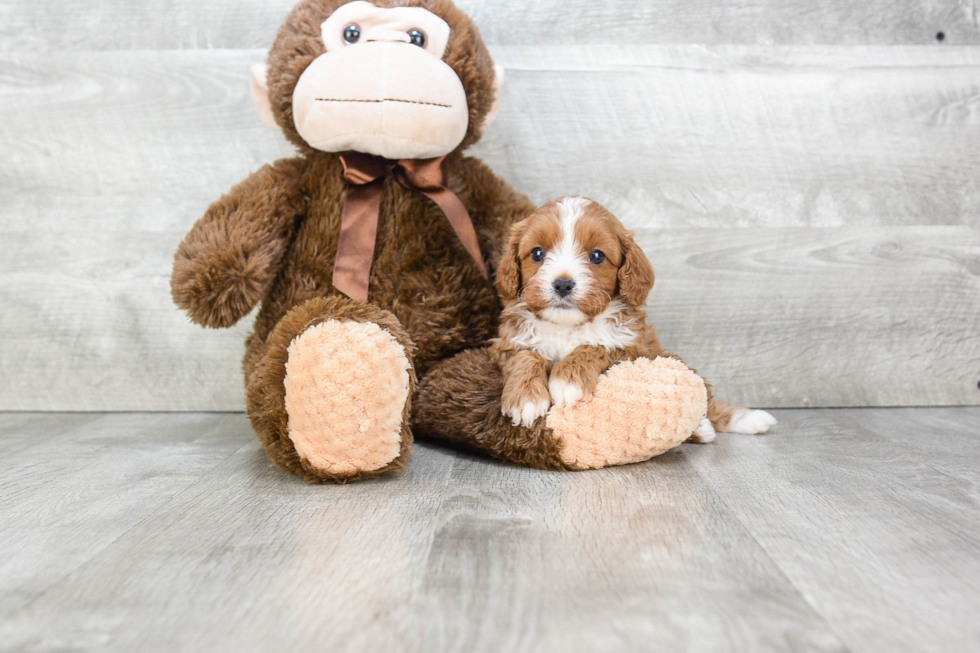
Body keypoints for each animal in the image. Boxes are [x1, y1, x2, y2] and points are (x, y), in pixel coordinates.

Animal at [494, 197, 776, 444]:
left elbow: (596, 345)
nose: (563, 284)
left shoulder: (634, 348)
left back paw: (741, 421)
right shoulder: (507, 344)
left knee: (708, 400)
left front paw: (568, 379)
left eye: (597, 256)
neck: (568, 326)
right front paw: (525, 397)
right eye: (537, 253)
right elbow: (525, 355)